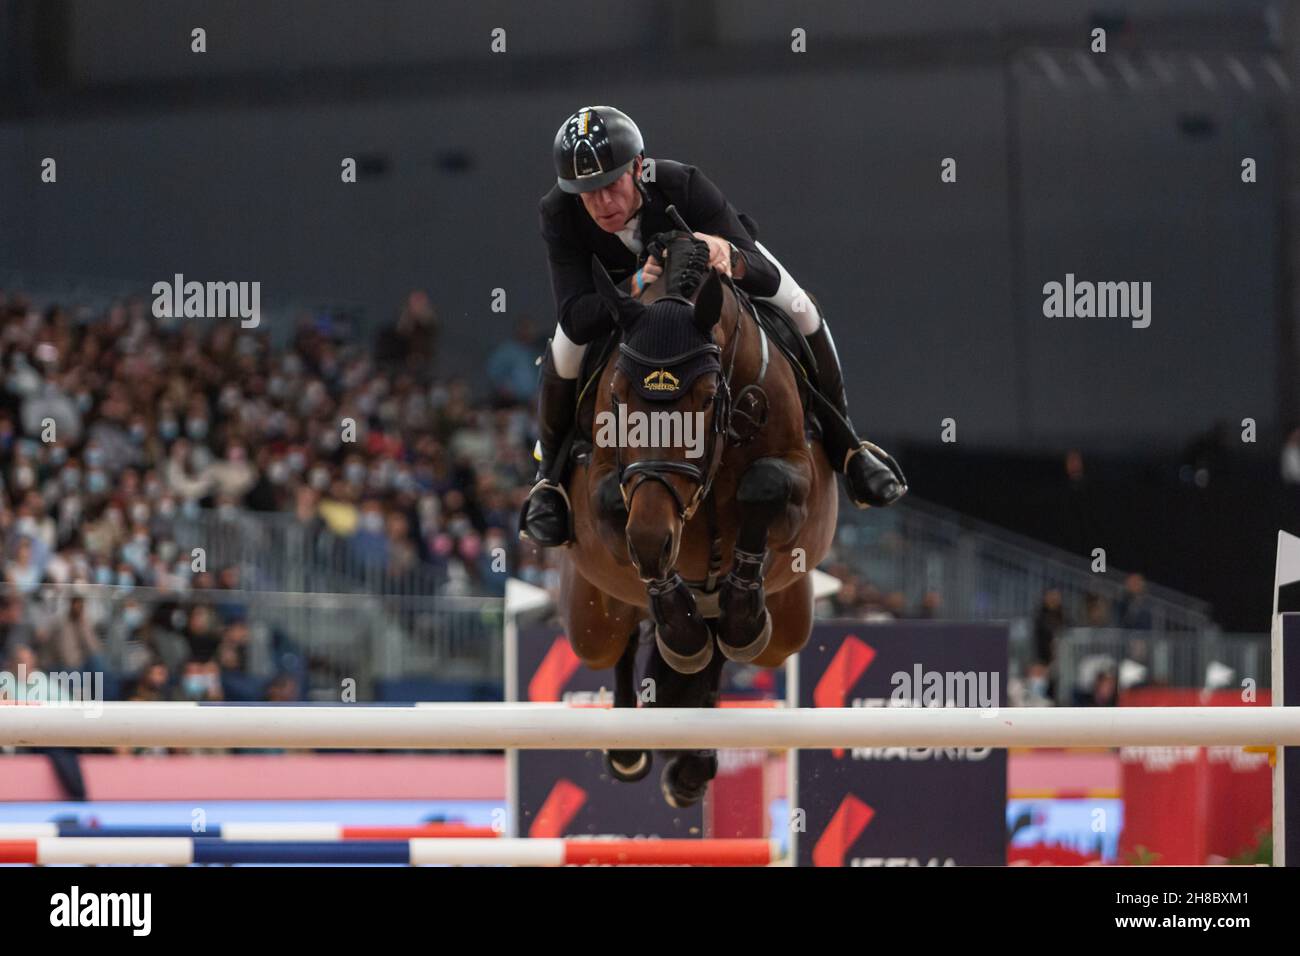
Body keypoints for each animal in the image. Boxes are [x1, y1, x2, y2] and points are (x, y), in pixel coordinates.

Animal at [553, 230, 837, 806]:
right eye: (617, 396)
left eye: (706, 399)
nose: (657, 536)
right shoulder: (608, 491)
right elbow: (618, 511)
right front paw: (679, 628)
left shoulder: (802, 482)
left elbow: (764, 485)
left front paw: (738, 616)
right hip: (591, 622)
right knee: (622, 642)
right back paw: (631, 746)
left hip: (789, 625)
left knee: (726, 651)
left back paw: (692, 758)